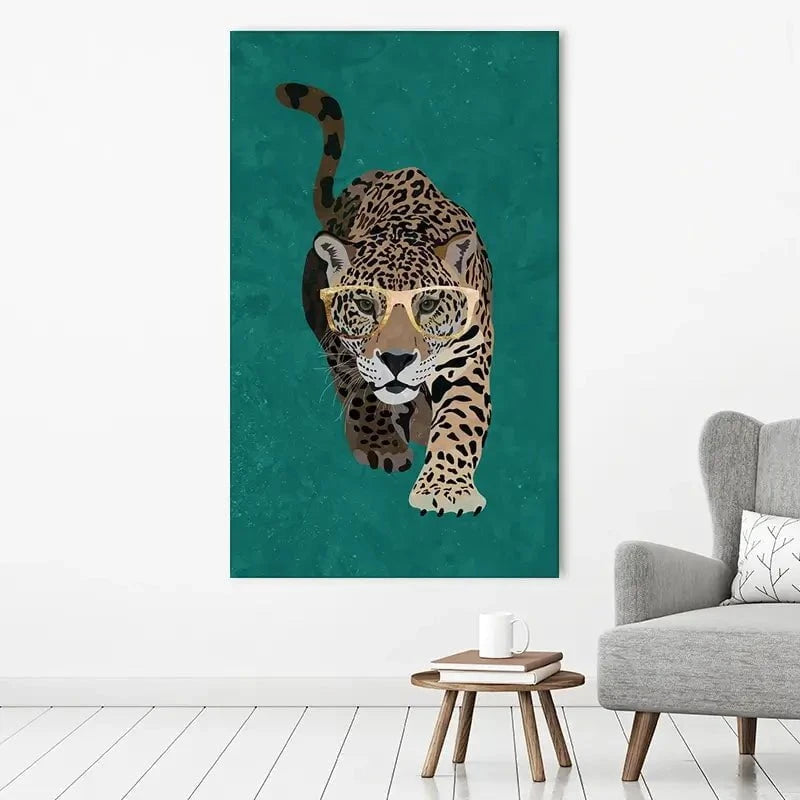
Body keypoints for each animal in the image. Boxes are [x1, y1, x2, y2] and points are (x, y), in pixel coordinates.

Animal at [276, 82, 494, 517]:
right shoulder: (344, 346)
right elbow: (362, 391)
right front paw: (381, 445)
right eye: (364, 304)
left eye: (427, 304)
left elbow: (460, 420)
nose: (396, 360)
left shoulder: (467, 358)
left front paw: (445, 489)